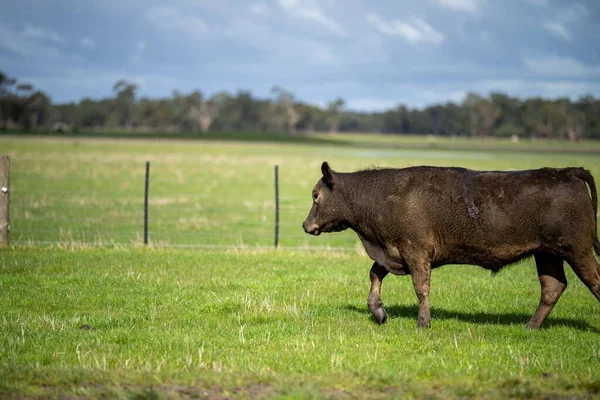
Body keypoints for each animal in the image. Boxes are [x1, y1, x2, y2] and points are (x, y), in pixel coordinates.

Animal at [302, 162, 600, 328]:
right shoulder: (393, 253)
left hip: (578, 250)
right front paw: (378, 312)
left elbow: (421, 287)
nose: (306, 225)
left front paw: (423, 322)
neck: (382, 196)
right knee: (552, 288)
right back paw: (530, 326)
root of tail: (567, 172)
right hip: (548, 254)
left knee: (593, 281)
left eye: (316, 195)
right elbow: (375, 273)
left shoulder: (416, 252)